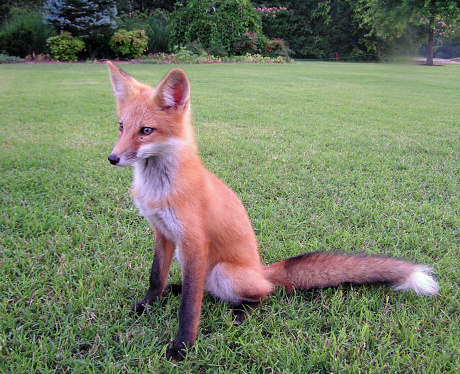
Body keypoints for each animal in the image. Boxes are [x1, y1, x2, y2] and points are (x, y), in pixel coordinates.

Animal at [107, 62, 438, 360]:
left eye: (146, 131)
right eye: (121, 127)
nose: (112, 158)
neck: (160, 190)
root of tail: (260, 269)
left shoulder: (194, 243)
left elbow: (190, 306)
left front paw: (183, 348)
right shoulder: (163, 233)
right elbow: (156, 279)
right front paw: (148, 305)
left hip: (223, 271)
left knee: (262, 293)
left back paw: (242, 313)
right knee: (208, 290)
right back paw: (175, 290)